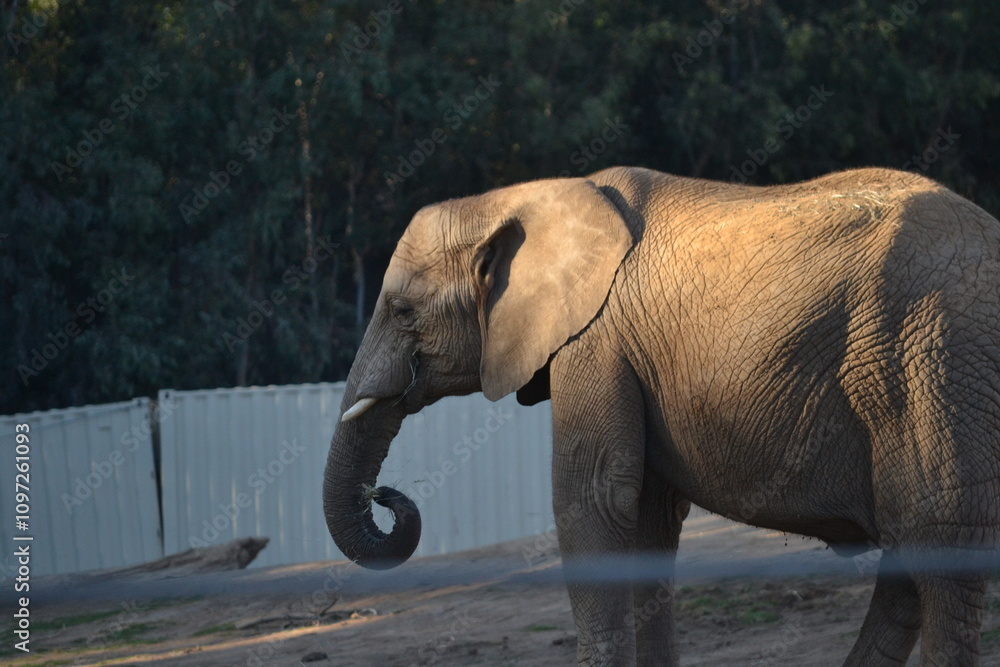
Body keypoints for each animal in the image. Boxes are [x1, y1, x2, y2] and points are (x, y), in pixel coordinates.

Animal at [322, 165, 1000, 666]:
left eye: (404, 311)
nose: (386, 493)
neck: (516, 198)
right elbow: (646, 515)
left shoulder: (595, 339)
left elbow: (594, 498)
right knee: (909, 563)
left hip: (935, 362)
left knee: (940, 556)